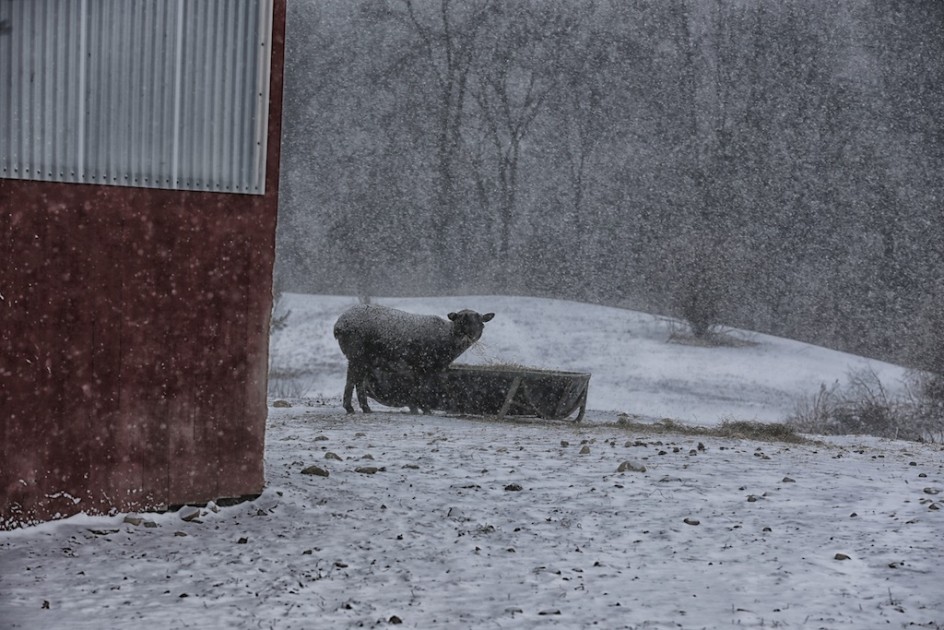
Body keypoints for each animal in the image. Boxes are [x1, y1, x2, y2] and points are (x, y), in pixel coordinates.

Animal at [332, 304, 494, 414]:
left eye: (480, 322)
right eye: (461, 321)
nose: (471, 335)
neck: (447, 339)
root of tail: (339, 325)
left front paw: (418, 408)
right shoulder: (424, 364)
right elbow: (423, 387)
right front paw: (425, 409)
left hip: (362, 358)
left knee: (357, 379)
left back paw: (363, 408)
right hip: (357, 353)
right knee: (353, 379)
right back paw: (352, 407)